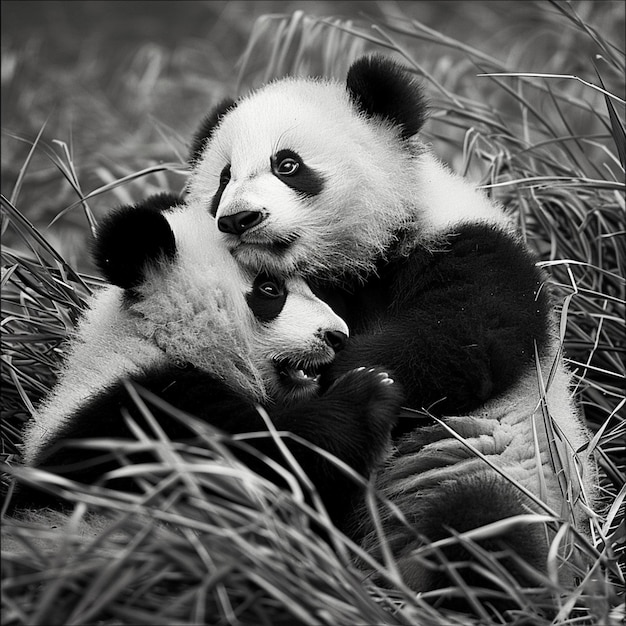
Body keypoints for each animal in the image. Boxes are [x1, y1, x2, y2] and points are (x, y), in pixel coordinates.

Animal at [17, 193, 402, 528]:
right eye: (270, 289)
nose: (338, 335)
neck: (159, 340)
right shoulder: (143, 417)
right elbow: (263, 463)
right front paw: (369, 391)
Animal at [184, 56, 596, 604]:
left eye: (287, 165)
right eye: (223, 178)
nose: (239, 218)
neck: (358, 257)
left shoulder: (473, 248)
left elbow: (457, 346)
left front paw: (339, 377)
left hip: (508, 478)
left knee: (484, 525)